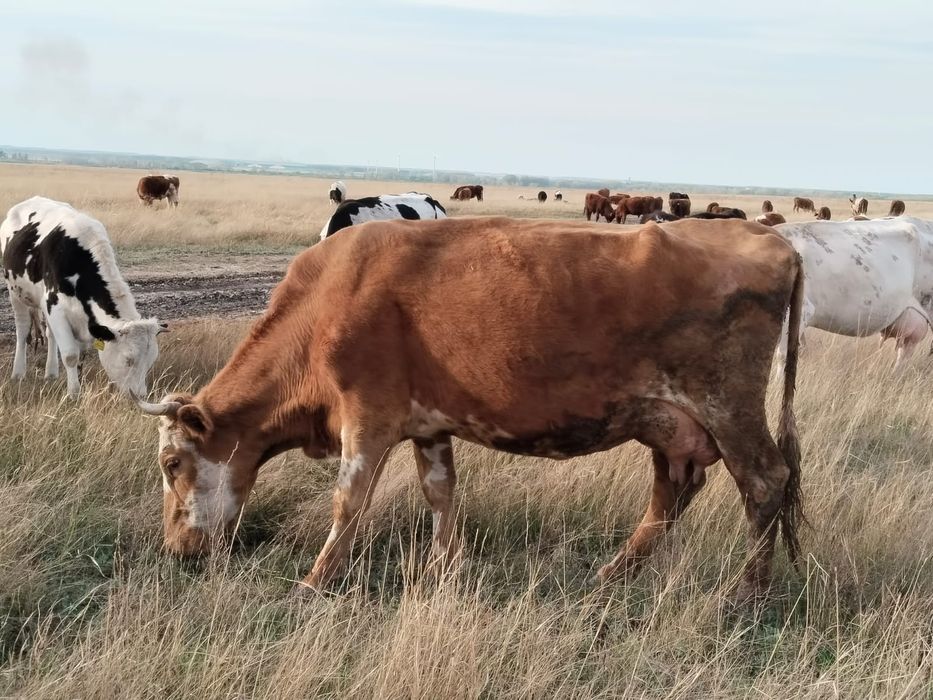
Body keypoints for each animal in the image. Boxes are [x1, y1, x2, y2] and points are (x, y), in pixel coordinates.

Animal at [1, 197, 166, 398]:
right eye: (128, 359)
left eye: (151, 361)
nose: (141, 395)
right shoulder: (56, 308)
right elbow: (71, 355)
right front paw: (74, 393)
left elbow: (80, 355)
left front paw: (78, 382)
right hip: (15, 292)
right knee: (23, 330)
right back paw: (18, 373)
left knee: (50, 334)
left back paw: (51, 374)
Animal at [136, 216, 805, 602]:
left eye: (172, 465)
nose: (175, 550)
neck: (325, 302)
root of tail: (770, 236)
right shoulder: (427, 424)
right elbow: (440, 491)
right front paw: (444, 569)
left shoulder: (368, 415)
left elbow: (349, 501)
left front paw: (315, 580)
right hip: (669, 423)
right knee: (672, 491)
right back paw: (612, 575)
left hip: (727, 405)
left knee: (764, 482)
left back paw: (746, 594)